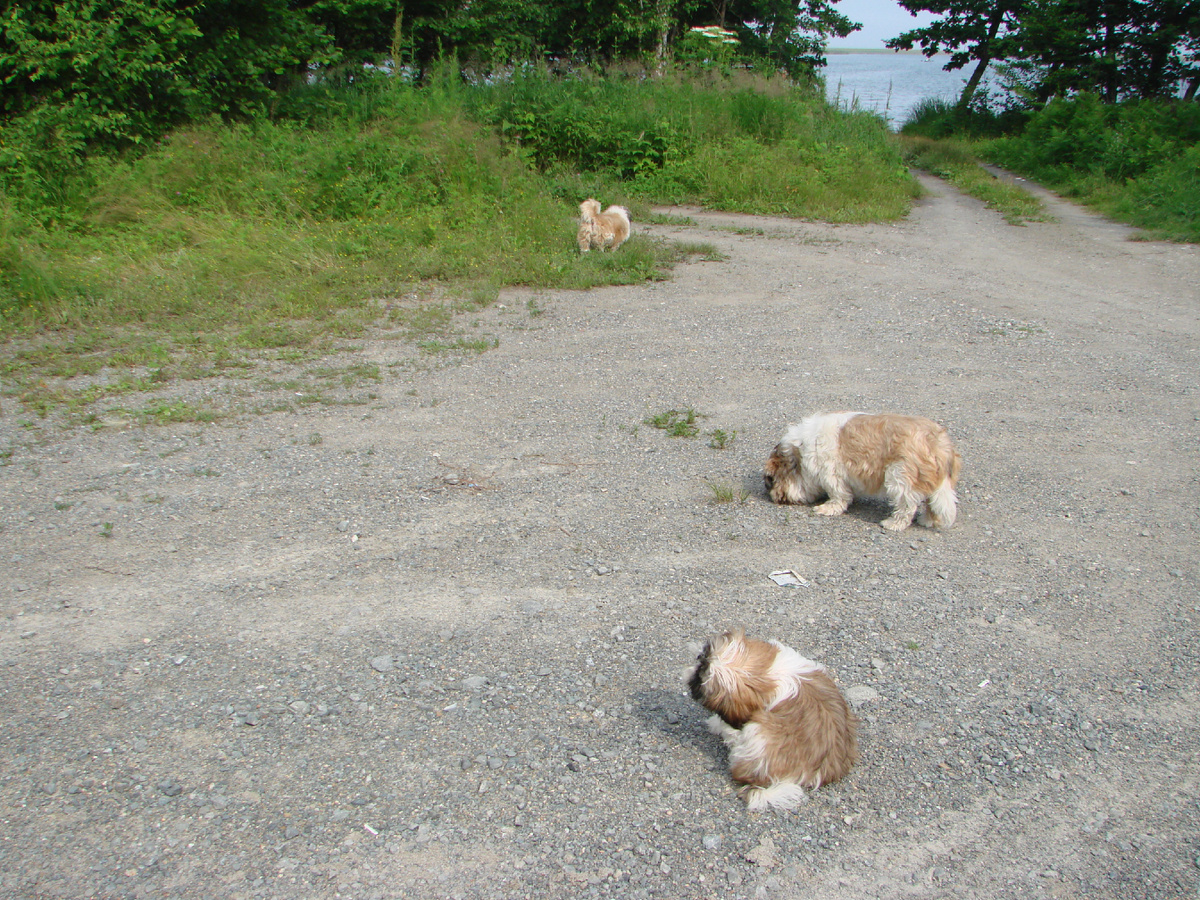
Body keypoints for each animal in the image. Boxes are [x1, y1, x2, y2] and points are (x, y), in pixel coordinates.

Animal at [763, 415, 960, 532]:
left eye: (772, 479)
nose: (771, 494)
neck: (802, 450)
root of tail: (940, 443)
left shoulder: (831, 474)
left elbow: (839, 496)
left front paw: (828, 508)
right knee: (931, 503)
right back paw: (927, 520)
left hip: (900, 477)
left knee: (906, 507)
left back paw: (893, 523)